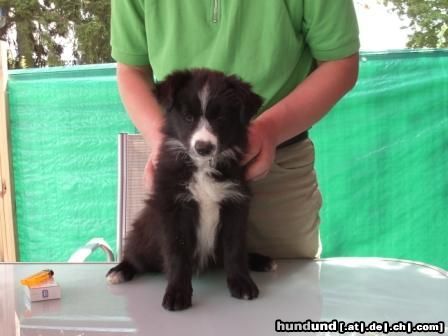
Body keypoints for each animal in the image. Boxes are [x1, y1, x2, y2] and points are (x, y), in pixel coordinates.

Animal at [107, 69, 274, 312]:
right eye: (187, 117)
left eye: (220, 118)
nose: (203, 147)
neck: (202, 167)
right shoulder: (172, 208)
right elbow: (178, 254)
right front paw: (177, 293)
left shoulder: (235, 204)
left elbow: (235, 249)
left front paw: (242, 283)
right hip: (143, 232)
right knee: (135, 255)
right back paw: (119, 270)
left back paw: (262, 260)